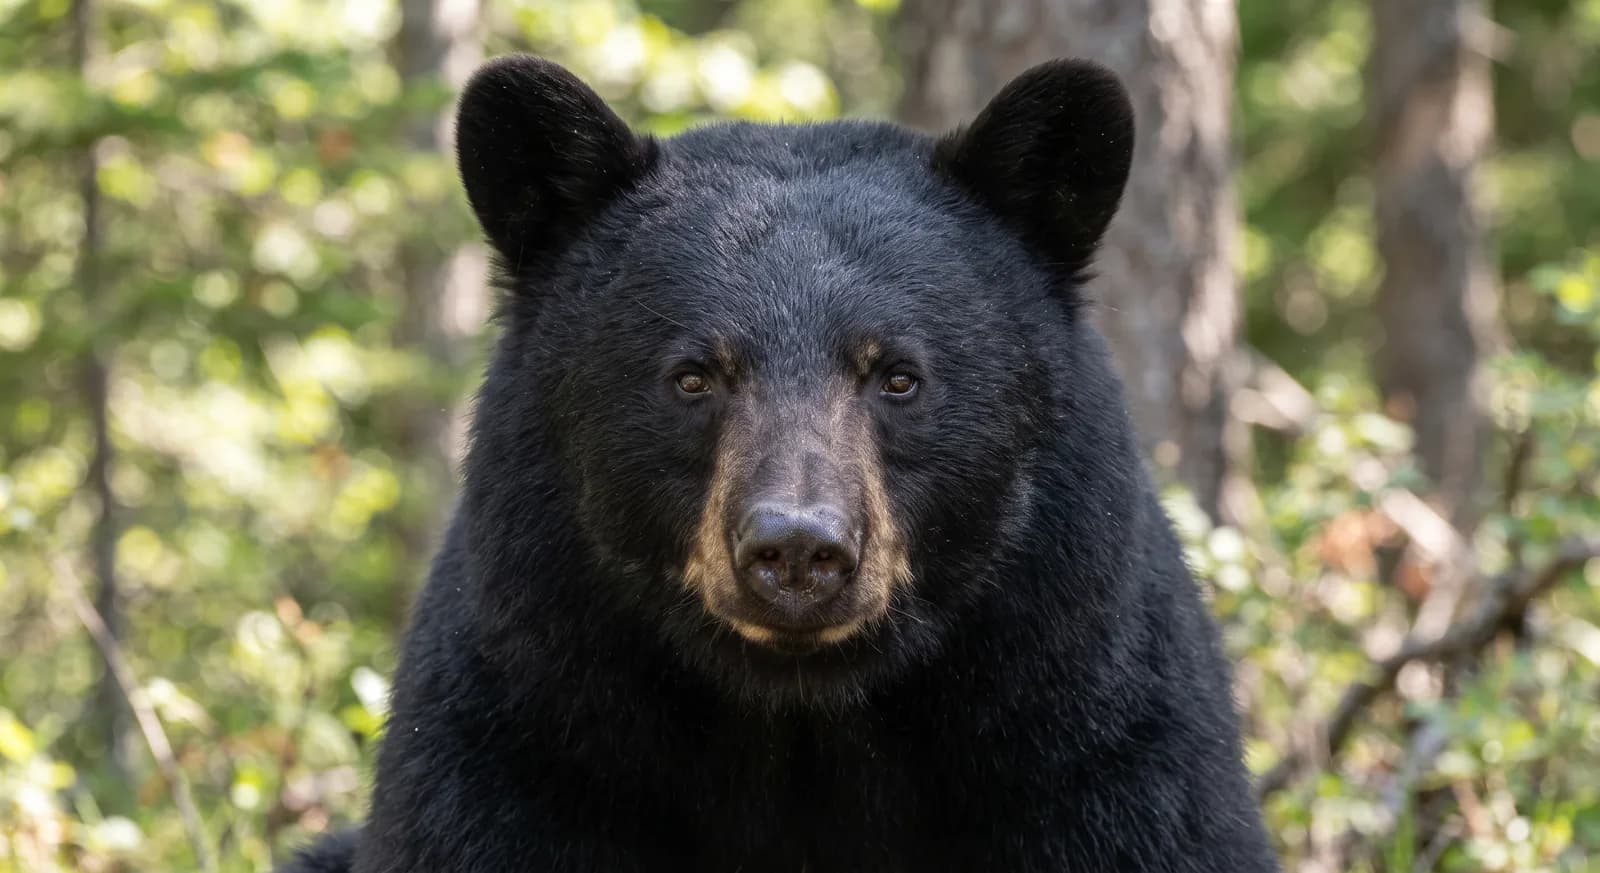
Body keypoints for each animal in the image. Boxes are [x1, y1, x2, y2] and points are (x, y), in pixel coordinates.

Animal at [281, 54, 1280, 872]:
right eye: (693, 375)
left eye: (898, 375)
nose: (797, 548)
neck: (802, 722)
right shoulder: (524, 749)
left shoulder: (1092, 752)